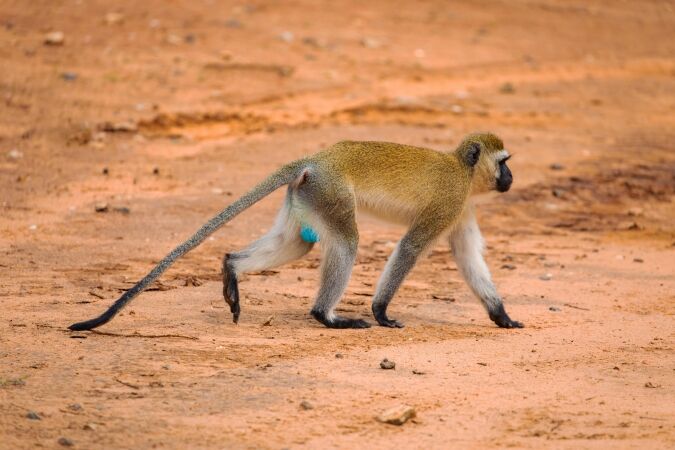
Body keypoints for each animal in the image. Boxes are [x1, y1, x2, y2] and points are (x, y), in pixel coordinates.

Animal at [68, 132, 522, 331]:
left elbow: (468, 256)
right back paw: (326, 316)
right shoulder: (449, 200)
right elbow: (411, 247)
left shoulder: (461, 209)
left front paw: (500, 315)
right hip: (331, 192)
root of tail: (318, 157)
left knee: (293, 244)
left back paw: (232, 268)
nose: (511, 178)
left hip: (308, 195)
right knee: (346, 242)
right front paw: (381, 312)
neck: (462, 170)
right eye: (503, 162)